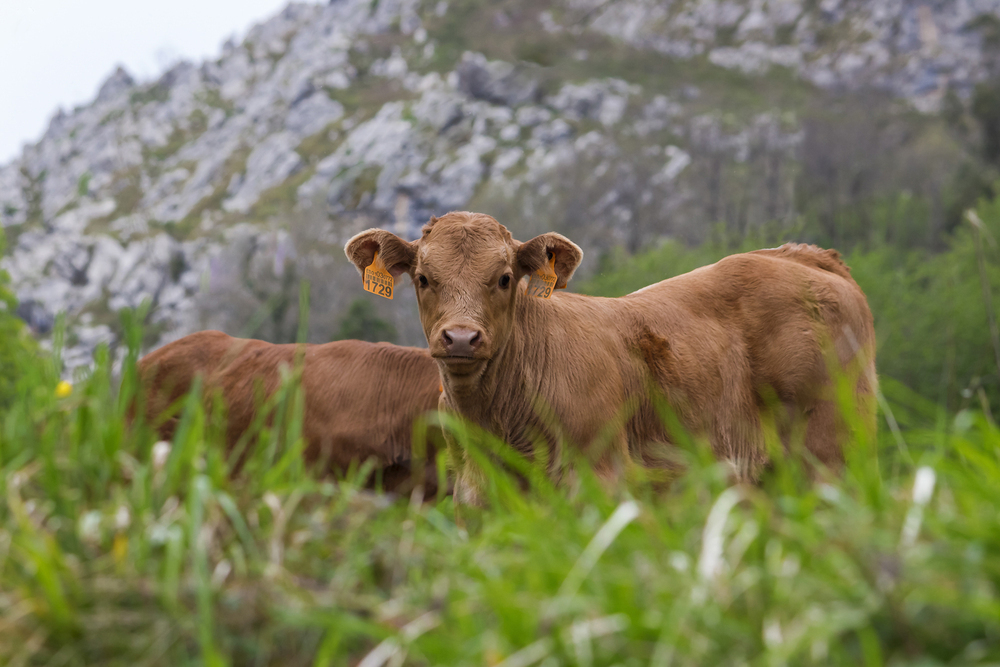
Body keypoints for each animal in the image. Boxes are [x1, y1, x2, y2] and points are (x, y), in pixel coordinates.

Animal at [348, 211, 880, 504]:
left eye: (504, 277)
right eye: (423, 278)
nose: (461, 338)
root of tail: (803, 255)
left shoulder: (599, 479)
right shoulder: (474, 495)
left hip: (831, 455)